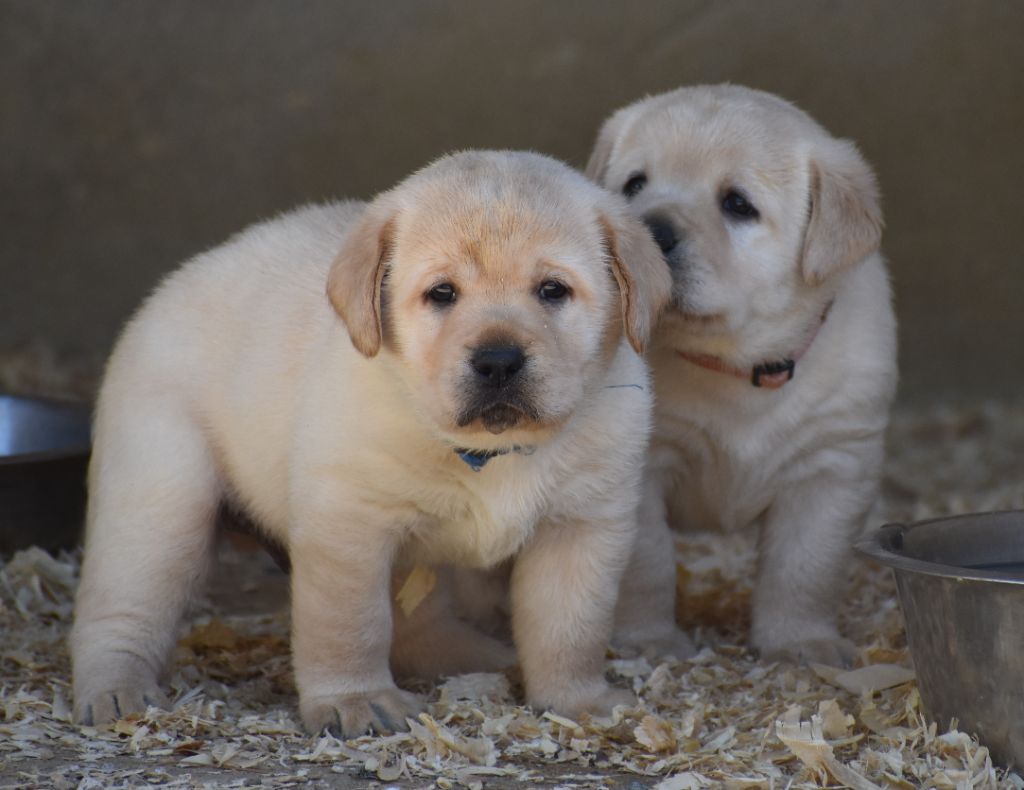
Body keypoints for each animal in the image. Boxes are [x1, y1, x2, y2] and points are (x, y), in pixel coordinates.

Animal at [75, 149, 675, 733]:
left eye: (553, 290)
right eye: (442, 293)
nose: (499, 361)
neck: (489, 453)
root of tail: (170, 286)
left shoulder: (581, 526)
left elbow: (571, 630)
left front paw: (578, 699)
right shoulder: (347, 525)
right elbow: (350, 624)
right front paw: (354, 701)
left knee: (417, 627)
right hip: (162, 498)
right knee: (121, 607)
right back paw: (115, 691)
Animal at [589, 88, 901, 668]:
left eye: (737, 204)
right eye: (634, 184)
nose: (652, 231)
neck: (733, 366)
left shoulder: (833, 464)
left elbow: (805, 566)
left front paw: (802, 643)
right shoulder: (640, 465)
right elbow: (646, 562)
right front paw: (649, 640)